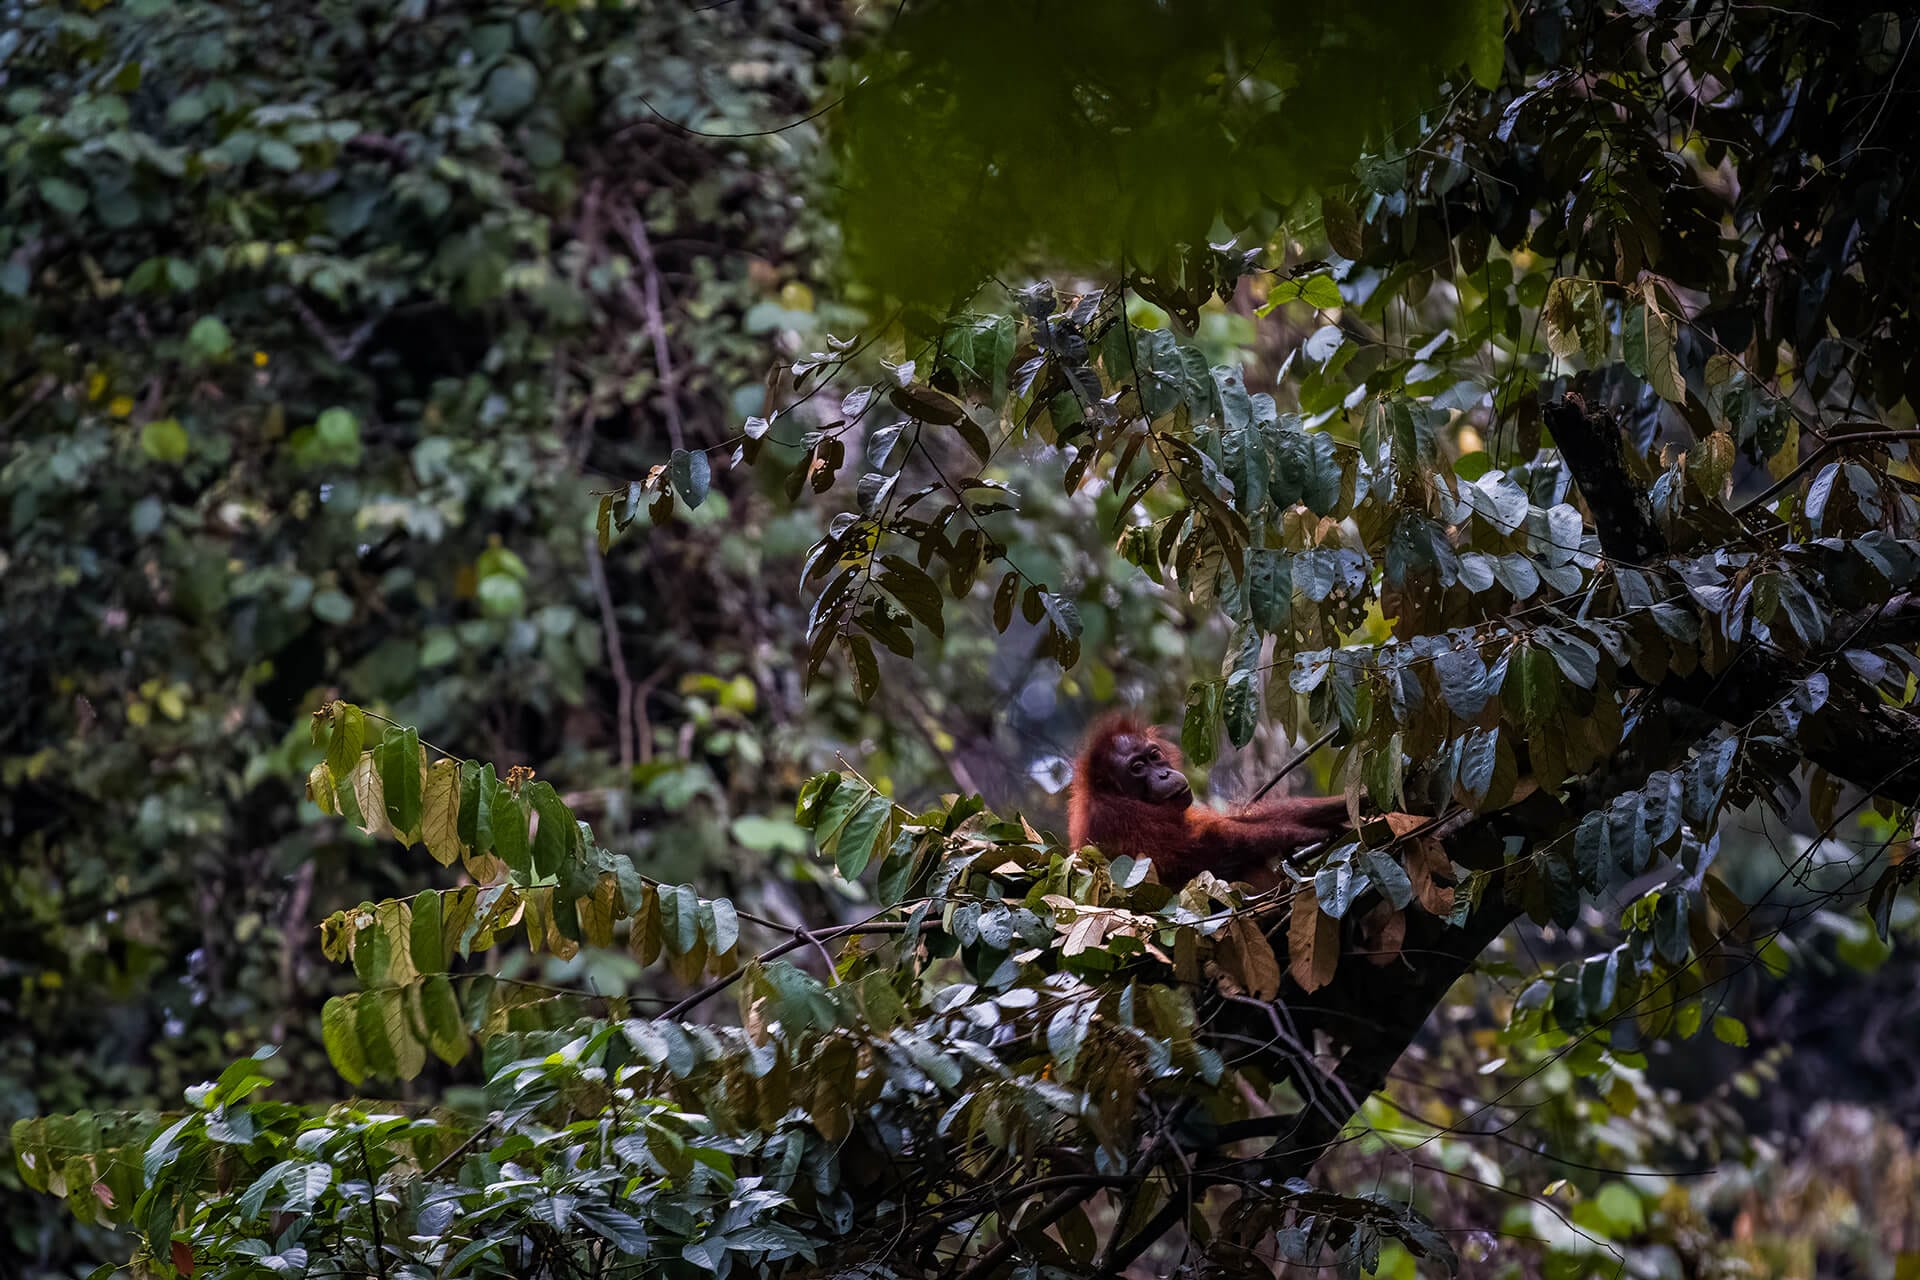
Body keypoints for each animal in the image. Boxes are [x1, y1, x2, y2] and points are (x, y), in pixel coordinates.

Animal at [1066, 714, 1350, 890]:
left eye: (1154, 756)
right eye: (1137, 767)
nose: (1163, 774)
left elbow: (1230, 822)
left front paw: (1341, 805)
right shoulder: (1117, 817)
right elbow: (1200, 850)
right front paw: (1303, 833)